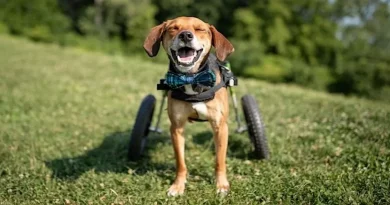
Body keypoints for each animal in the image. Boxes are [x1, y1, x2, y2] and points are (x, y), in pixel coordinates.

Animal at [143, 16, 235, 195]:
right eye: (173, 28)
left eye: (200, 29)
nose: (185, 35)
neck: (191, 78)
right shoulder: (176, 128)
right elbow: (181, 162)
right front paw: (178, 186)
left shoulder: (220, 127)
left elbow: (219, 160)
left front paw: (221, 185)